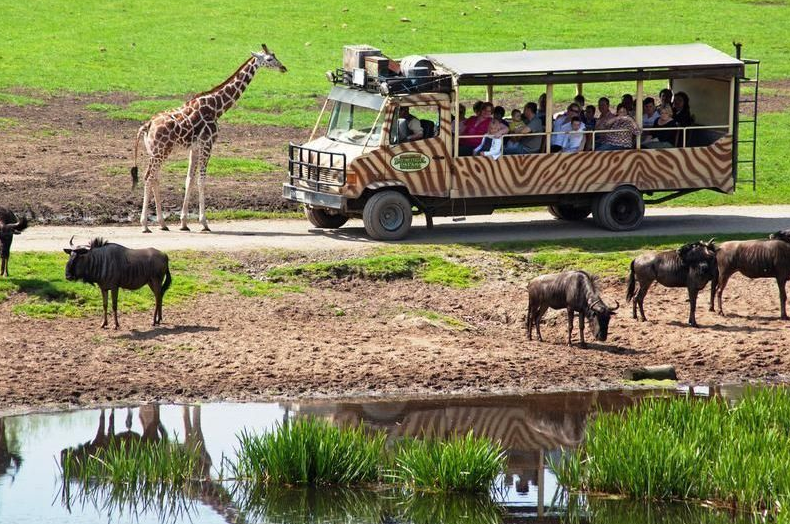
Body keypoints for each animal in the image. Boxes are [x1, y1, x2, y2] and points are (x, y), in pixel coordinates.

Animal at [132, 44, 288, 232]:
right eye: (269, 59)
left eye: (275, 55)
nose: (283, 68)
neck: (216, 107)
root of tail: (147, 125)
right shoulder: (208, 143)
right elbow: (201, 180)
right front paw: (204, 222)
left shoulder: (195, 147)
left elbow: (189, 179)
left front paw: (184, 223)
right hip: (161, 151)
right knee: (148, 177)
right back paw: (144, 224)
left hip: (156, 152)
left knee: (155, 178)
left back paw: (162, 223)